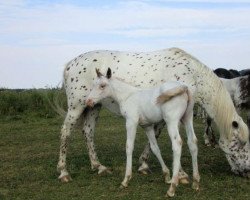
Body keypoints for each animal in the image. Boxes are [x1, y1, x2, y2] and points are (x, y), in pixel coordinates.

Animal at [57, 48, 250, 183]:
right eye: (240, 144)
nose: (247, 172)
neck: (191, 75)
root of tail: (70, 64)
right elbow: (172, 141)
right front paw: (180, 174)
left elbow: (155, 137)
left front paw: (143, 164)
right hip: (77, 106)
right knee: (65, 132)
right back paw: (64, 172)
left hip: (93, 106)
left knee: (88, 132)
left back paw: (98, 166)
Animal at [86, 68, 199, 197]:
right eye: (94, 84)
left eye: (102, 85)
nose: (88, 101)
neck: (128, 96)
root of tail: (184, 87)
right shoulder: (147, 126)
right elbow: (155, 148)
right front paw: (166, 175)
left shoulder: (131, 122)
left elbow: (129, 147)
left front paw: (126, 180)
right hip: (187, 118)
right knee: (192, 142)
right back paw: (195, 182)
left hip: (172, 121)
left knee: (177, 144)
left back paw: (172, 188)